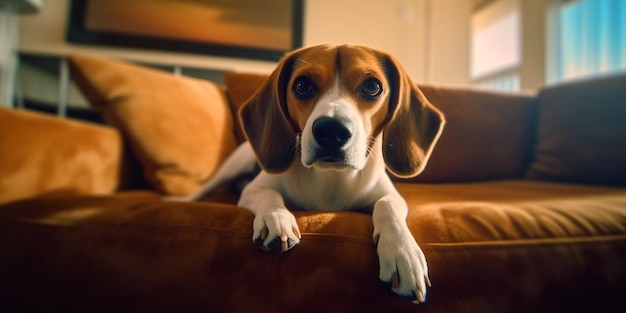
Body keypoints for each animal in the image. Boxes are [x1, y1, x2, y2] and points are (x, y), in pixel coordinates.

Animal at [173, 44, 442, 302]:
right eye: (302, 85)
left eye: (373, 87)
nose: (331, 130)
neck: (329, 178)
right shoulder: (253, 189)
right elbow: (270, 195)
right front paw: (276, 218)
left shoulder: (390, 195)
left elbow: (387, 206)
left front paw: (403, 253)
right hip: (235, 163)